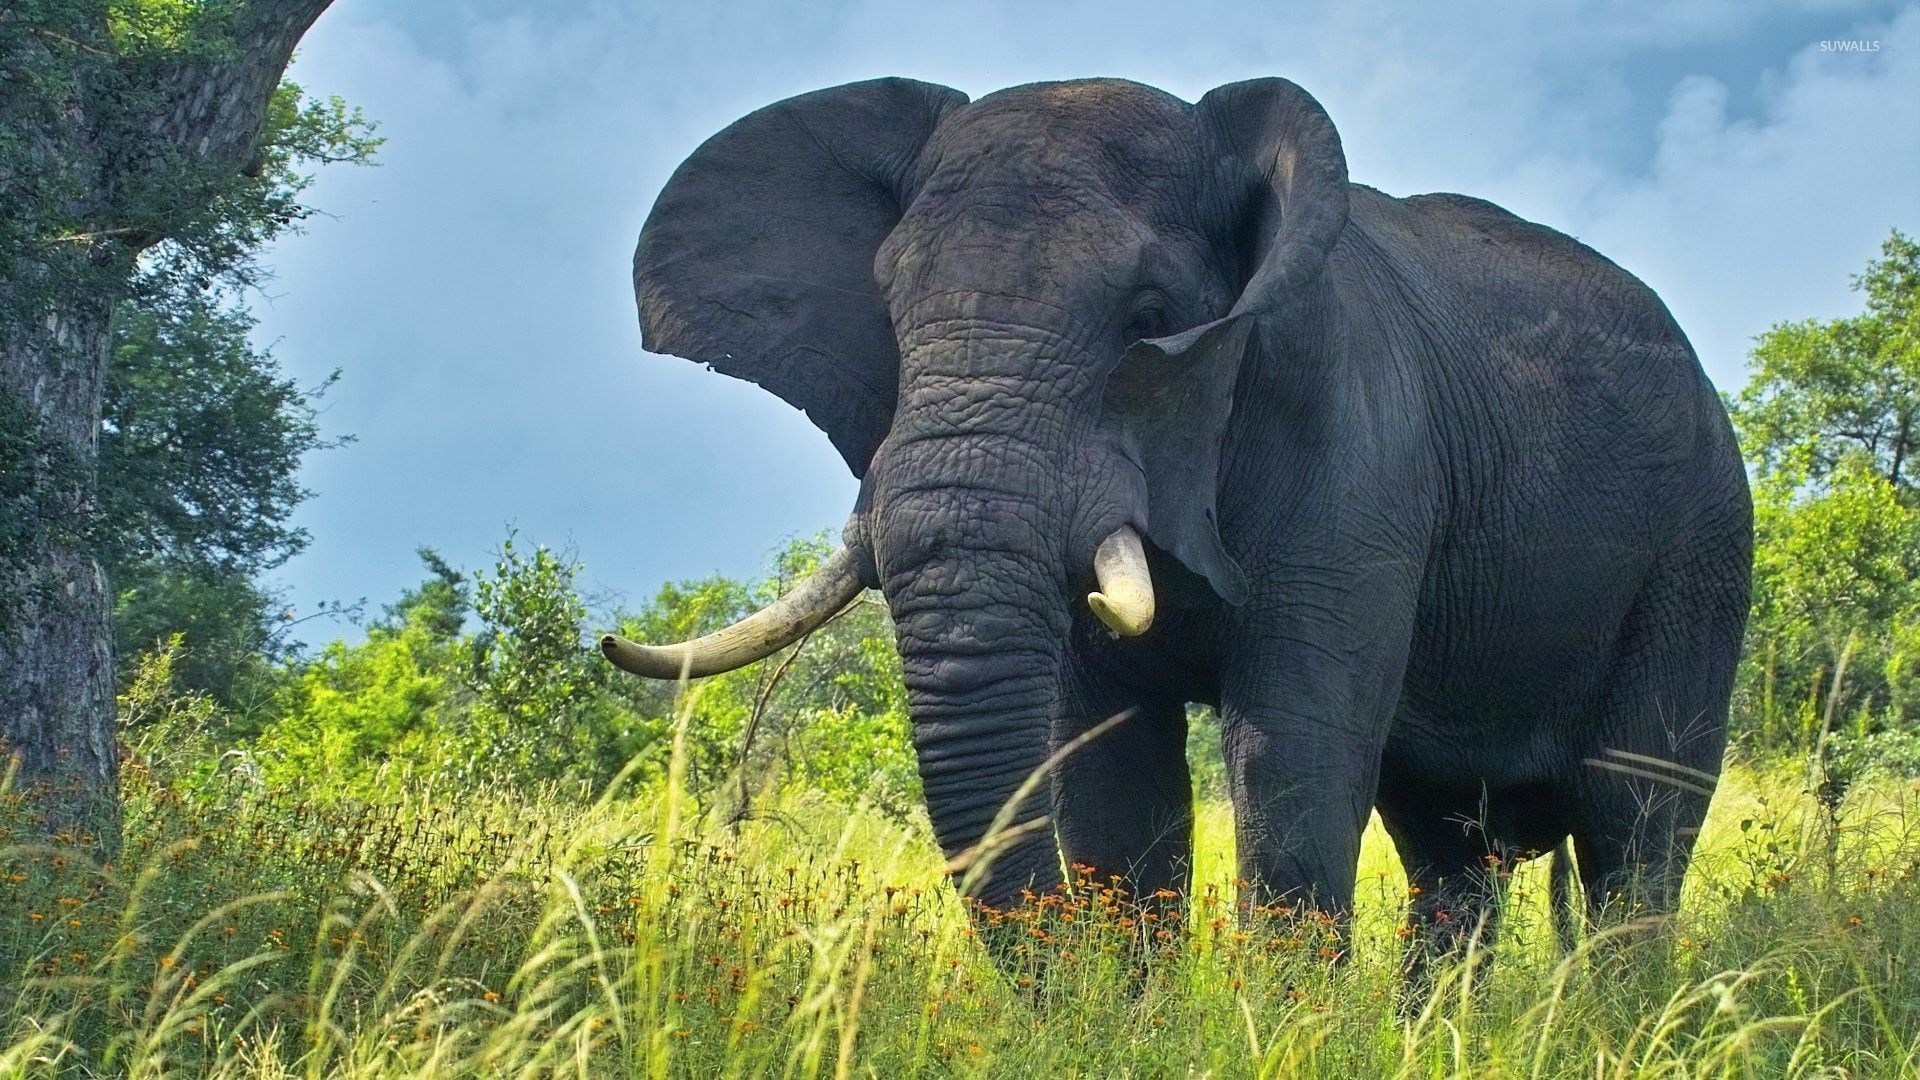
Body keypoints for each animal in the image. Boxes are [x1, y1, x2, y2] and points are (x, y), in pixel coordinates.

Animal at [601, 76, 1753, 952]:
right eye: (890, 316)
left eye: (1149, 319)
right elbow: (1112, 772)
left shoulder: (1358, 450)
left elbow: (1290, 751)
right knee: (1446, 846)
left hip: (1701, 545)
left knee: (1634, 822)